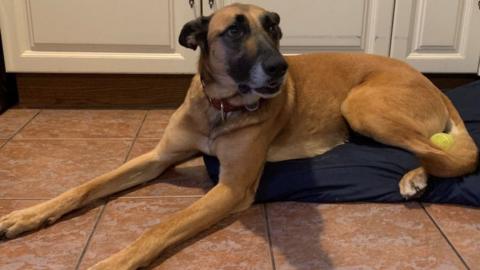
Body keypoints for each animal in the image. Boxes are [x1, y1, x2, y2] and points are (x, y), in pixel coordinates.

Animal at [0, 3, 480, 268]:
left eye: (275, 28)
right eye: (234, 30)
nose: (281, 68)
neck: (220, 109)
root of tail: (431, 81)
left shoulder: (231, 188)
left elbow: (161, 228)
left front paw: (114, 262)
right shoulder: (158, 157)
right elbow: (86, 186)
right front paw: (28, 215)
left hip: (362, 106)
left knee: (443, 155)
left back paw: (414, 178)